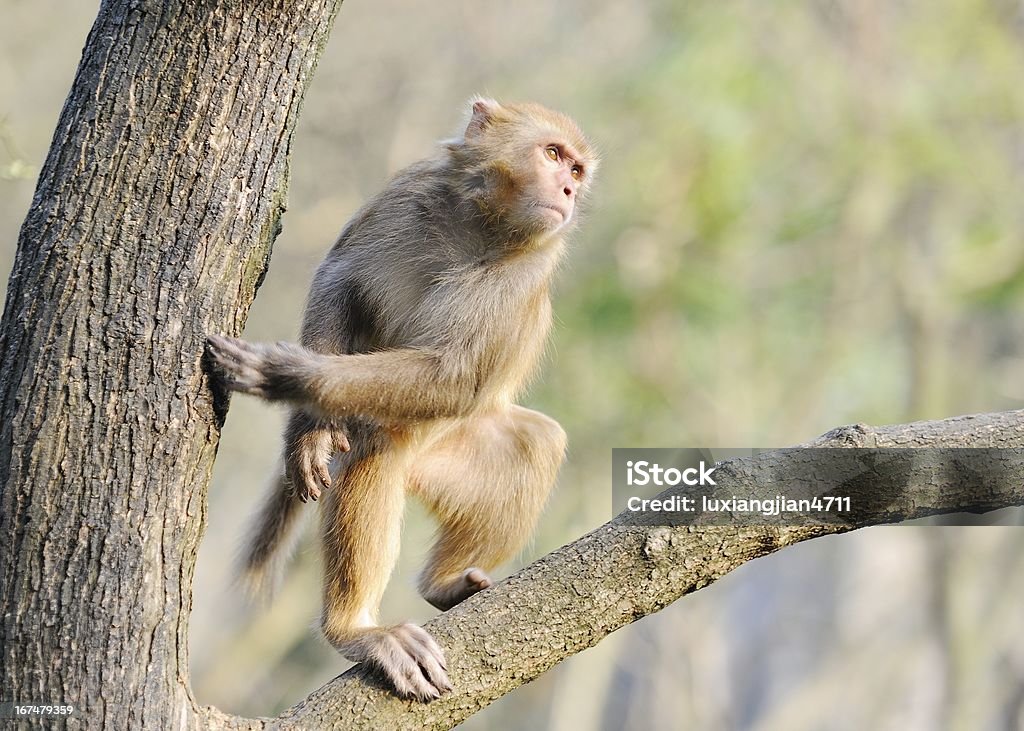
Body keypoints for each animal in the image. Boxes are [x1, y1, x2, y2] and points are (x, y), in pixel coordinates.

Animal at [204, 94, 598, 696]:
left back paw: (412, 600)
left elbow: (452, 378)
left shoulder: (525, 272)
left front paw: (290, 376)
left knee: (515, 444)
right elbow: (341, 279)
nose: (570, 192)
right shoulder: (407, 194)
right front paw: (307, 428)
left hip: (445, 449)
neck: (482, 224)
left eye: (577, 171)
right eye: (553, 155)